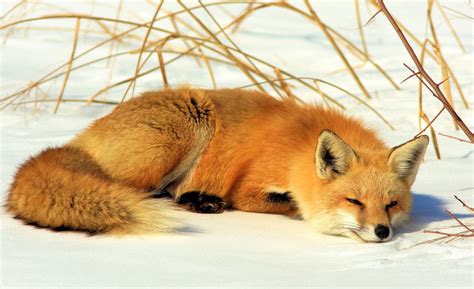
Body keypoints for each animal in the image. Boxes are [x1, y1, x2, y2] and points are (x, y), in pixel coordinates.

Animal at [4, 87, 430, 241]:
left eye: (391, 204)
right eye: (354, 202)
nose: (382, 232)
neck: (300, 151)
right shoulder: (249, 187)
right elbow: (289, 206)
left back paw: (197, 199)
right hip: (186, 127)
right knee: (136, 191)